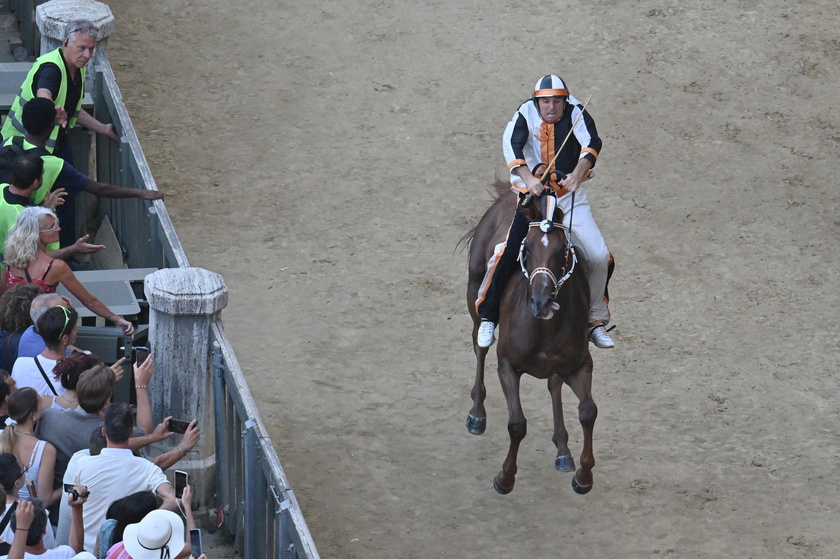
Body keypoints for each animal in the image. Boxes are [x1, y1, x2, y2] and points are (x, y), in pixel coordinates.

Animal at [466, 182, 596, 496]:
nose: (541, 301)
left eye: (564, 251)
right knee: (479, 344)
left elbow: (588, 411)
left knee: (554, 384)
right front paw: (505, 479)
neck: (543, 329)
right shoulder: (507, 365)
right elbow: (517, 424)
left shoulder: (580, 365)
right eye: (527, 247)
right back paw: (476, 413)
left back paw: (563, 450)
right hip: (474, 290)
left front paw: (584, 477)